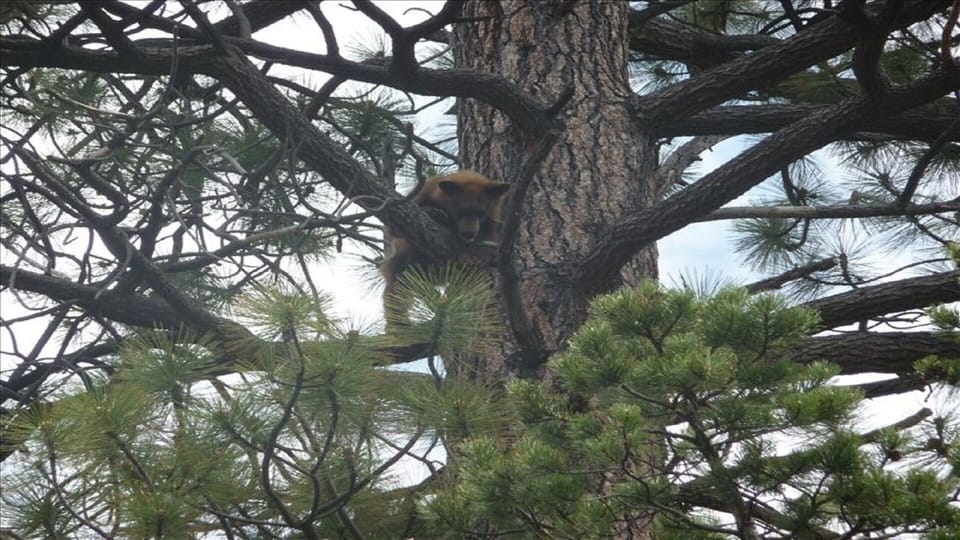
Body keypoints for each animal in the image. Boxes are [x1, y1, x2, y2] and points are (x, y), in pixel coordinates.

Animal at [380, 170, 510, 321]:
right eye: (460, 210)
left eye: (481, 212)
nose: (469, 233)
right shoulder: (421, 194)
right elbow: (394, 229)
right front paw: (434, 212)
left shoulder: (491, 219)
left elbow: (489, 240)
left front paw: (478, 255)